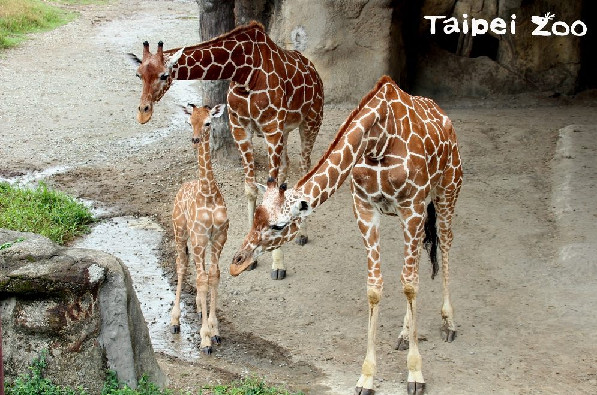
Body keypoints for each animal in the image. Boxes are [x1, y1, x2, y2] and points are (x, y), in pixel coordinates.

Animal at [128, 22, 324, 282]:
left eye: (164, 75)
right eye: (138, 74)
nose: (143, 112)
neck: (244, 71)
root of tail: (312, 68)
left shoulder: (271, 127)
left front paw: (277, 264)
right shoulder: (241, 128)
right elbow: (251, 188)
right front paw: (251, 258)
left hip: (310, 121)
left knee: (304, 166)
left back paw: (302, 234)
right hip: (286, 129)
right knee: (285, 167)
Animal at [230, 76, 464, 394]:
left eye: (278, 226)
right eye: (256, 218)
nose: (236, 263)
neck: (378, 140)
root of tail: (444, 117)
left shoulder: (412, 207)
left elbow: (410, 284)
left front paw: (415, 374)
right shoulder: (365, 208)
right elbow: (376, 287)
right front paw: (366, 377)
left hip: (447, 190)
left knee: (445, 244)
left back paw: (448, 324)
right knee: (413, 265)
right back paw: (404, 335)